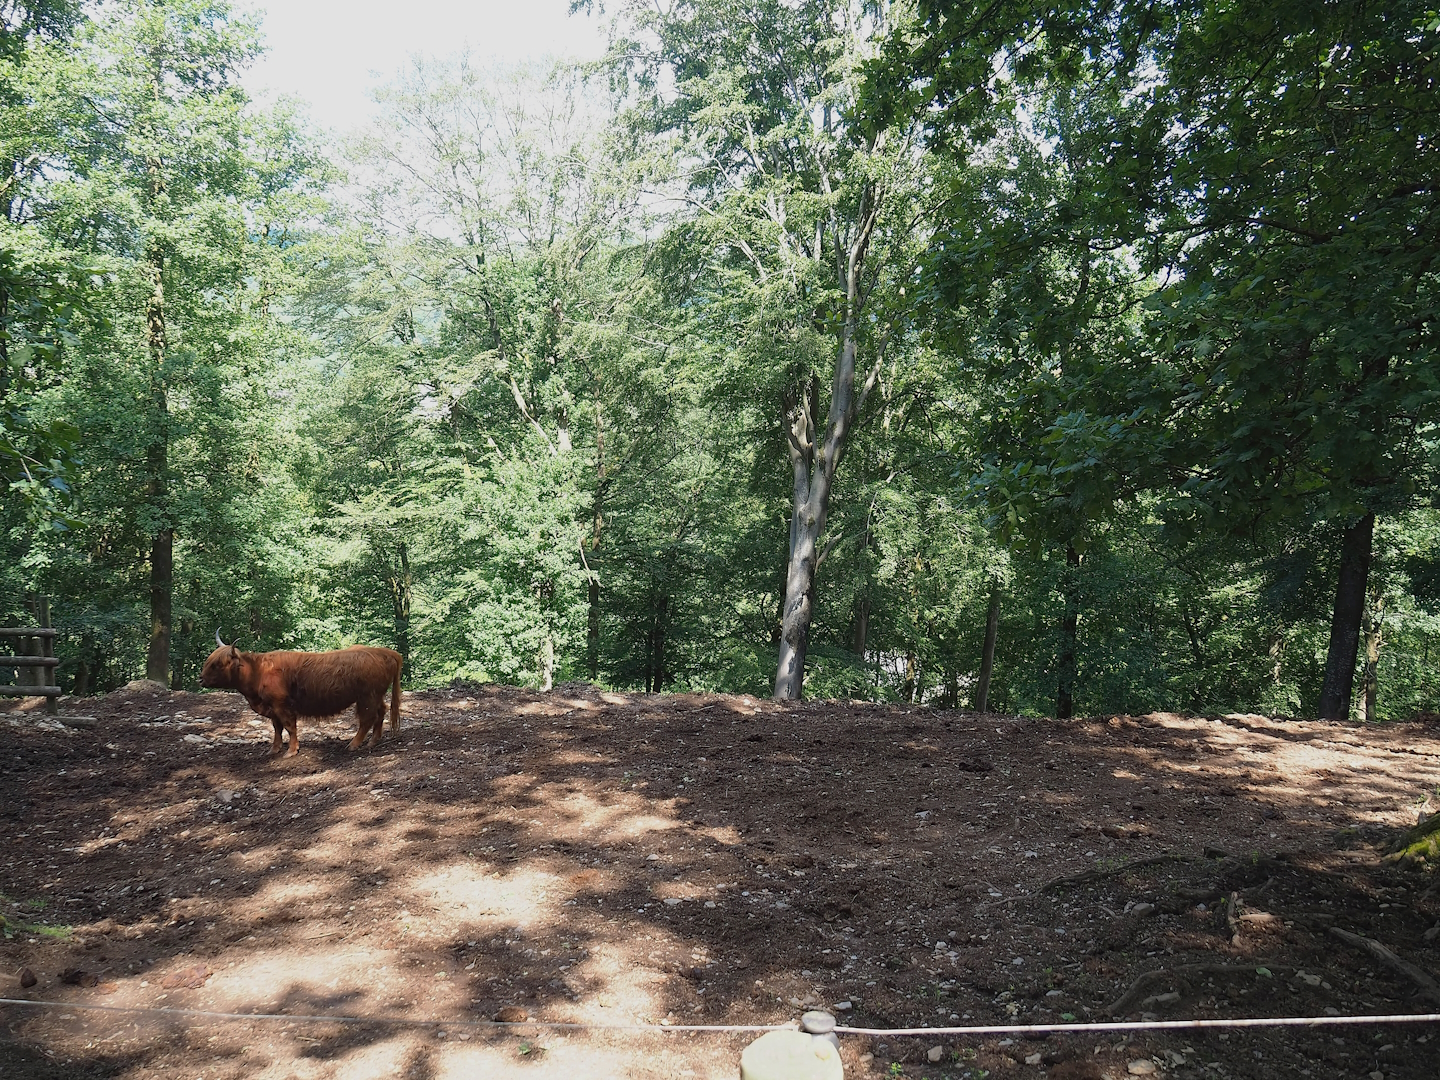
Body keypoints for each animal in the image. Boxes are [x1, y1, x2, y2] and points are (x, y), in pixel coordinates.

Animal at [199, 631, 402, 758]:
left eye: (217, 664)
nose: (200, 679)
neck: (258, 671)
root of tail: (385, 651)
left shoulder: (282, 705)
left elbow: (290, 727)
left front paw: (291, 751)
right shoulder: (273, 709)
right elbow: (277, 729)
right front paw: (274, 749)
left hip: (367, 698)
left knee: (367, 719)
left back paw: (354, 744)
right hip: (375, 696)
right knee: (381, 713)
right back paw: (373, 742)